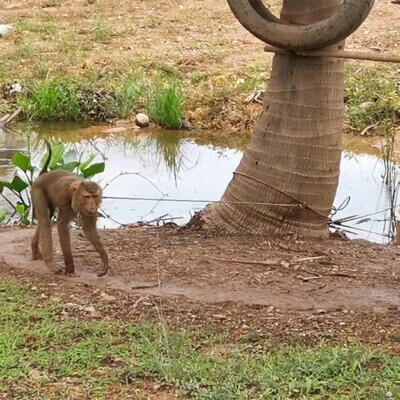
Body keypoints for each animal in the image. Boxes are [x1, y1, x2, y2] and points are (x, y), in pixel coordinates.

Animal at [30, 142, 109, 276]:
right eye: (87, 197)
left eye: (94, 196)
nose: (92, 206)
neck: (75, 195)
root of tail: (43, 175)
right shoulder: (66, 203)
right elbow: (62, 226)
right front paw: (70, 267)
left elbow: (88, 228)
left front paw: (104, 258)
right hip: (37, 190)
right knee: (45, 219)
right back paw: (49, 261)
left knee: (46, 218)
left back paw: (35, 250)